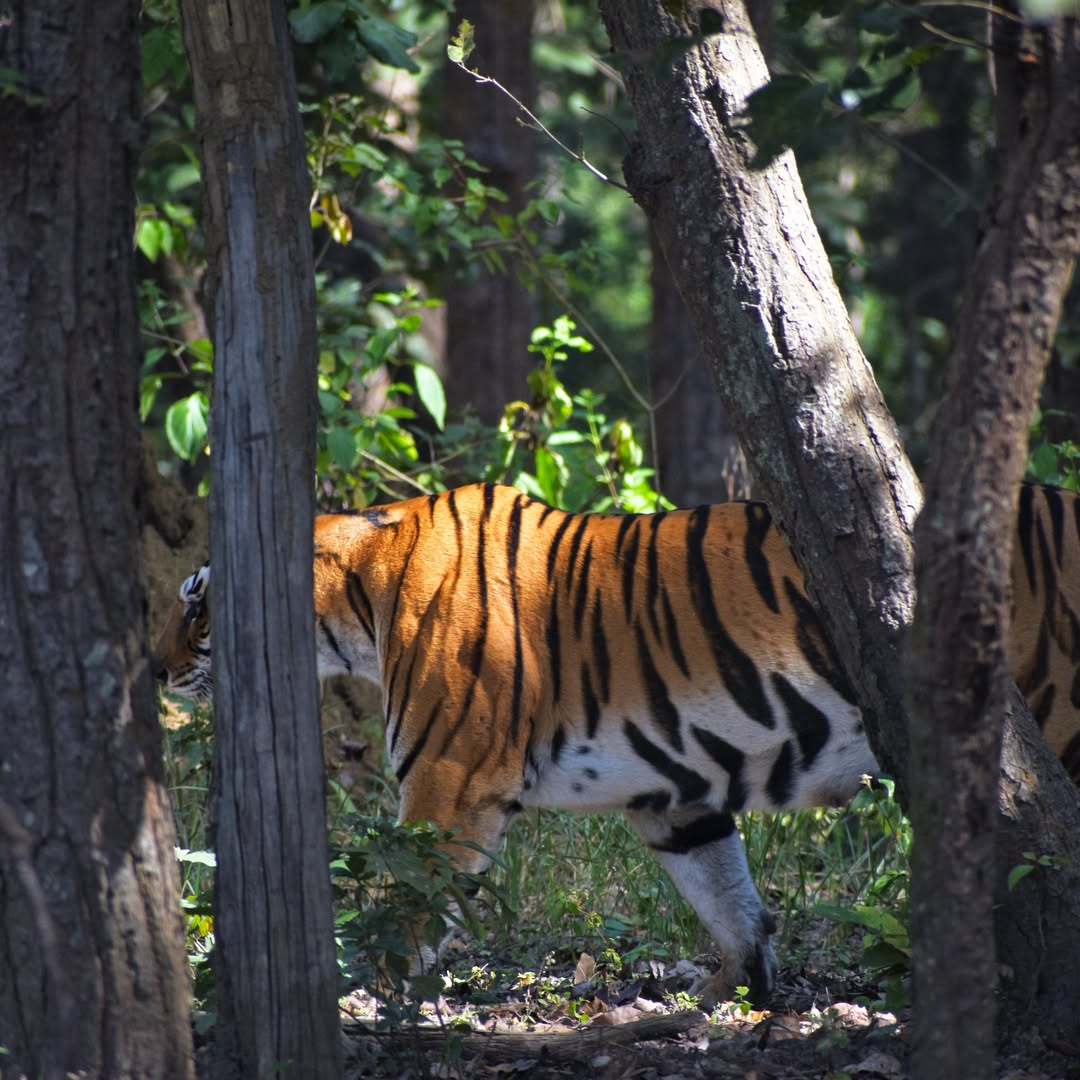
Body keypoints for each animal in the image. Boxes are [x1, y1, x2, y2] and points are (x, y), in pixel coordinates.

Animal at [152, 480, 1080, 1006]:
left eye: (195, 602)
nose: (155, 667)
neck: (362, 596)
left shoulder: (448, 783)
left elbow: (406, 907)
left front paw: (361, 997)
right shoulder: (677, 793)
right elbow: (731, 898)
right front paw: (731, 995)